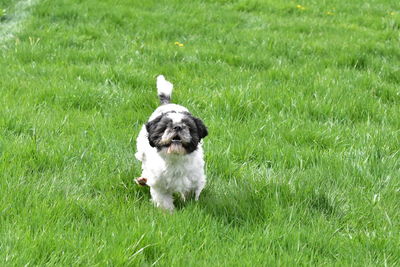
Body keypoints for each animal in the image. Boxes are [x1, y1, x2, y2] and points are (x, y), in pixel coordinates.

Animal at [135, 75, 209, 211]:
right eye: (165, 127)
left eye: (188, 127)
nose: (178, 127)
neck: (175, 158)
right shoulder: (159, 183)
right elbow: (164, 201)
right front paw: (169, 213)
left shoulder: (195, 179)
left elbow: (191, 193)